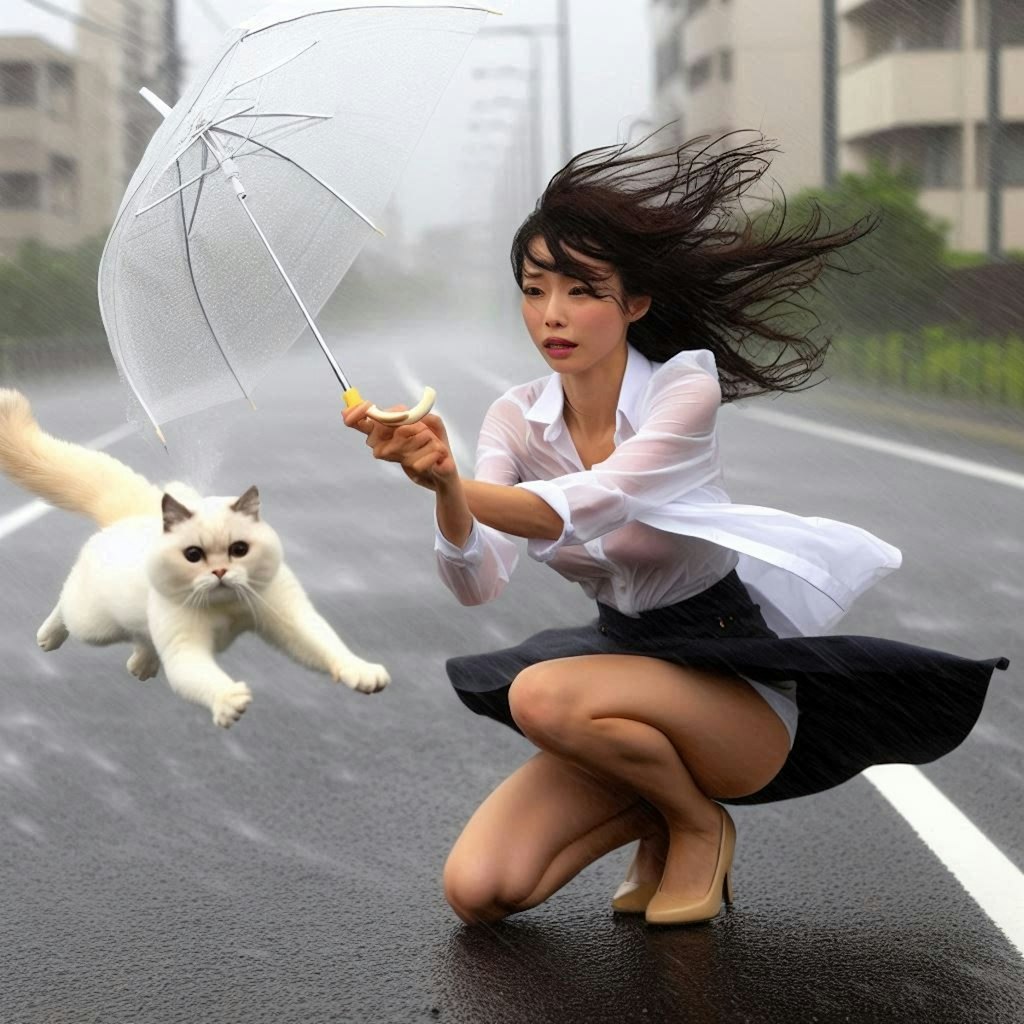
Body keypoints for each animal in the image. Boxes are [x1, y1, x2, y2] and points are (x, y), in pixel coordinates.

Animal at [0, 385, 389, 729]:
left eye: (239, 549)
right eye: (193, 555)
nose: (220, 571)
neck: (229, 609)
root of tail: (138, 512)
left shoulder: (292, 618)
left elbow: (327, 645)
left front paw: (363, 673)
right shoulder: (185, 649)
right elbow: (201, 678)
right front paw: (229, 701)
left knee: (140, 636)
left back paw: (140, 665)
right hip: (93, 624)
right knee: (66, 607)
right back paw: (48, 637)